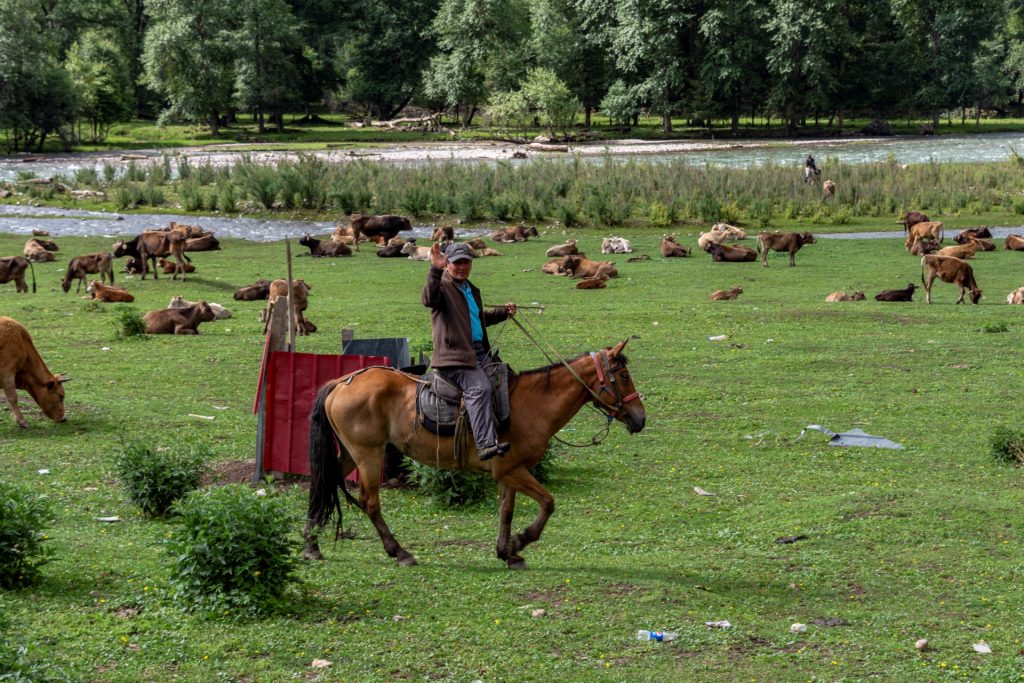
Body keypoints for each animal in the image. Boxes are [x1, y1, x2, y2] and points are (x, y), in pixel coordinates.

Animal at [299, 339, 647, 569]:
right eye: (624, 376)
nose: (640, 418)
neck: (532, 404)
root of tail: (342, 381)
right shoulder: (513, 471)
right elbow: (548, 503)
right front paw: (521, 540)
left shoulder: (509, 473)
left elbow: (506, 511)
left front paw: (507, 552)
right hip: (368, 455)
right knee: (370, 502)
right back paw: (399, 552)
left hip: (349, 454)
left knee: (323, 484)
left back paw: (311, 545)